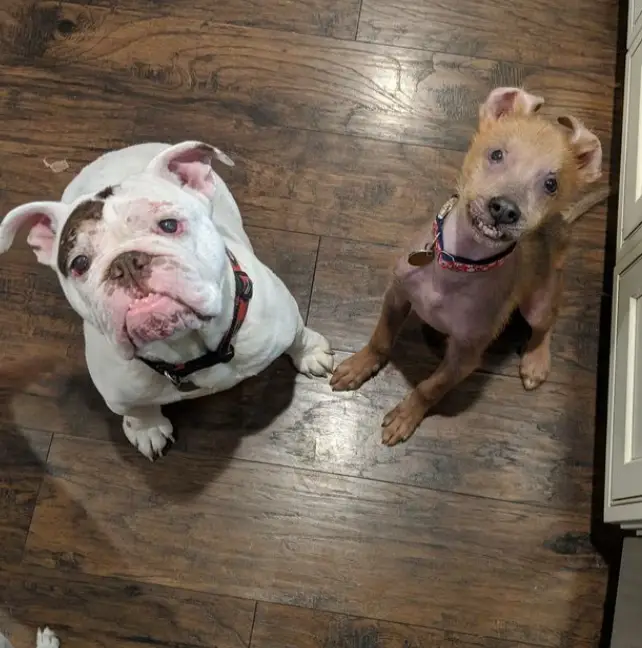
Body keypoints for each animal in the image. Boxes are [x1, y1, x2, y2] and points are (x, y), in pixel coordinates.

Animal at [330, 87, 604, 446]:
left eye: (551, 184)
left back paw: (535, 360)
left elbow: (430, 387)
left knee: (546, 323)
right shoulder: (396, 295)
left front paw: (407, 415)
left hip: (539, 301)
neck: (459, 265)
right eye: (496, 154)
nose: (505, 210)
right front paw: (359, 366)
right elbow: (380, 339)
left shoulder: (465, 358)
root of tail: (562, 223)